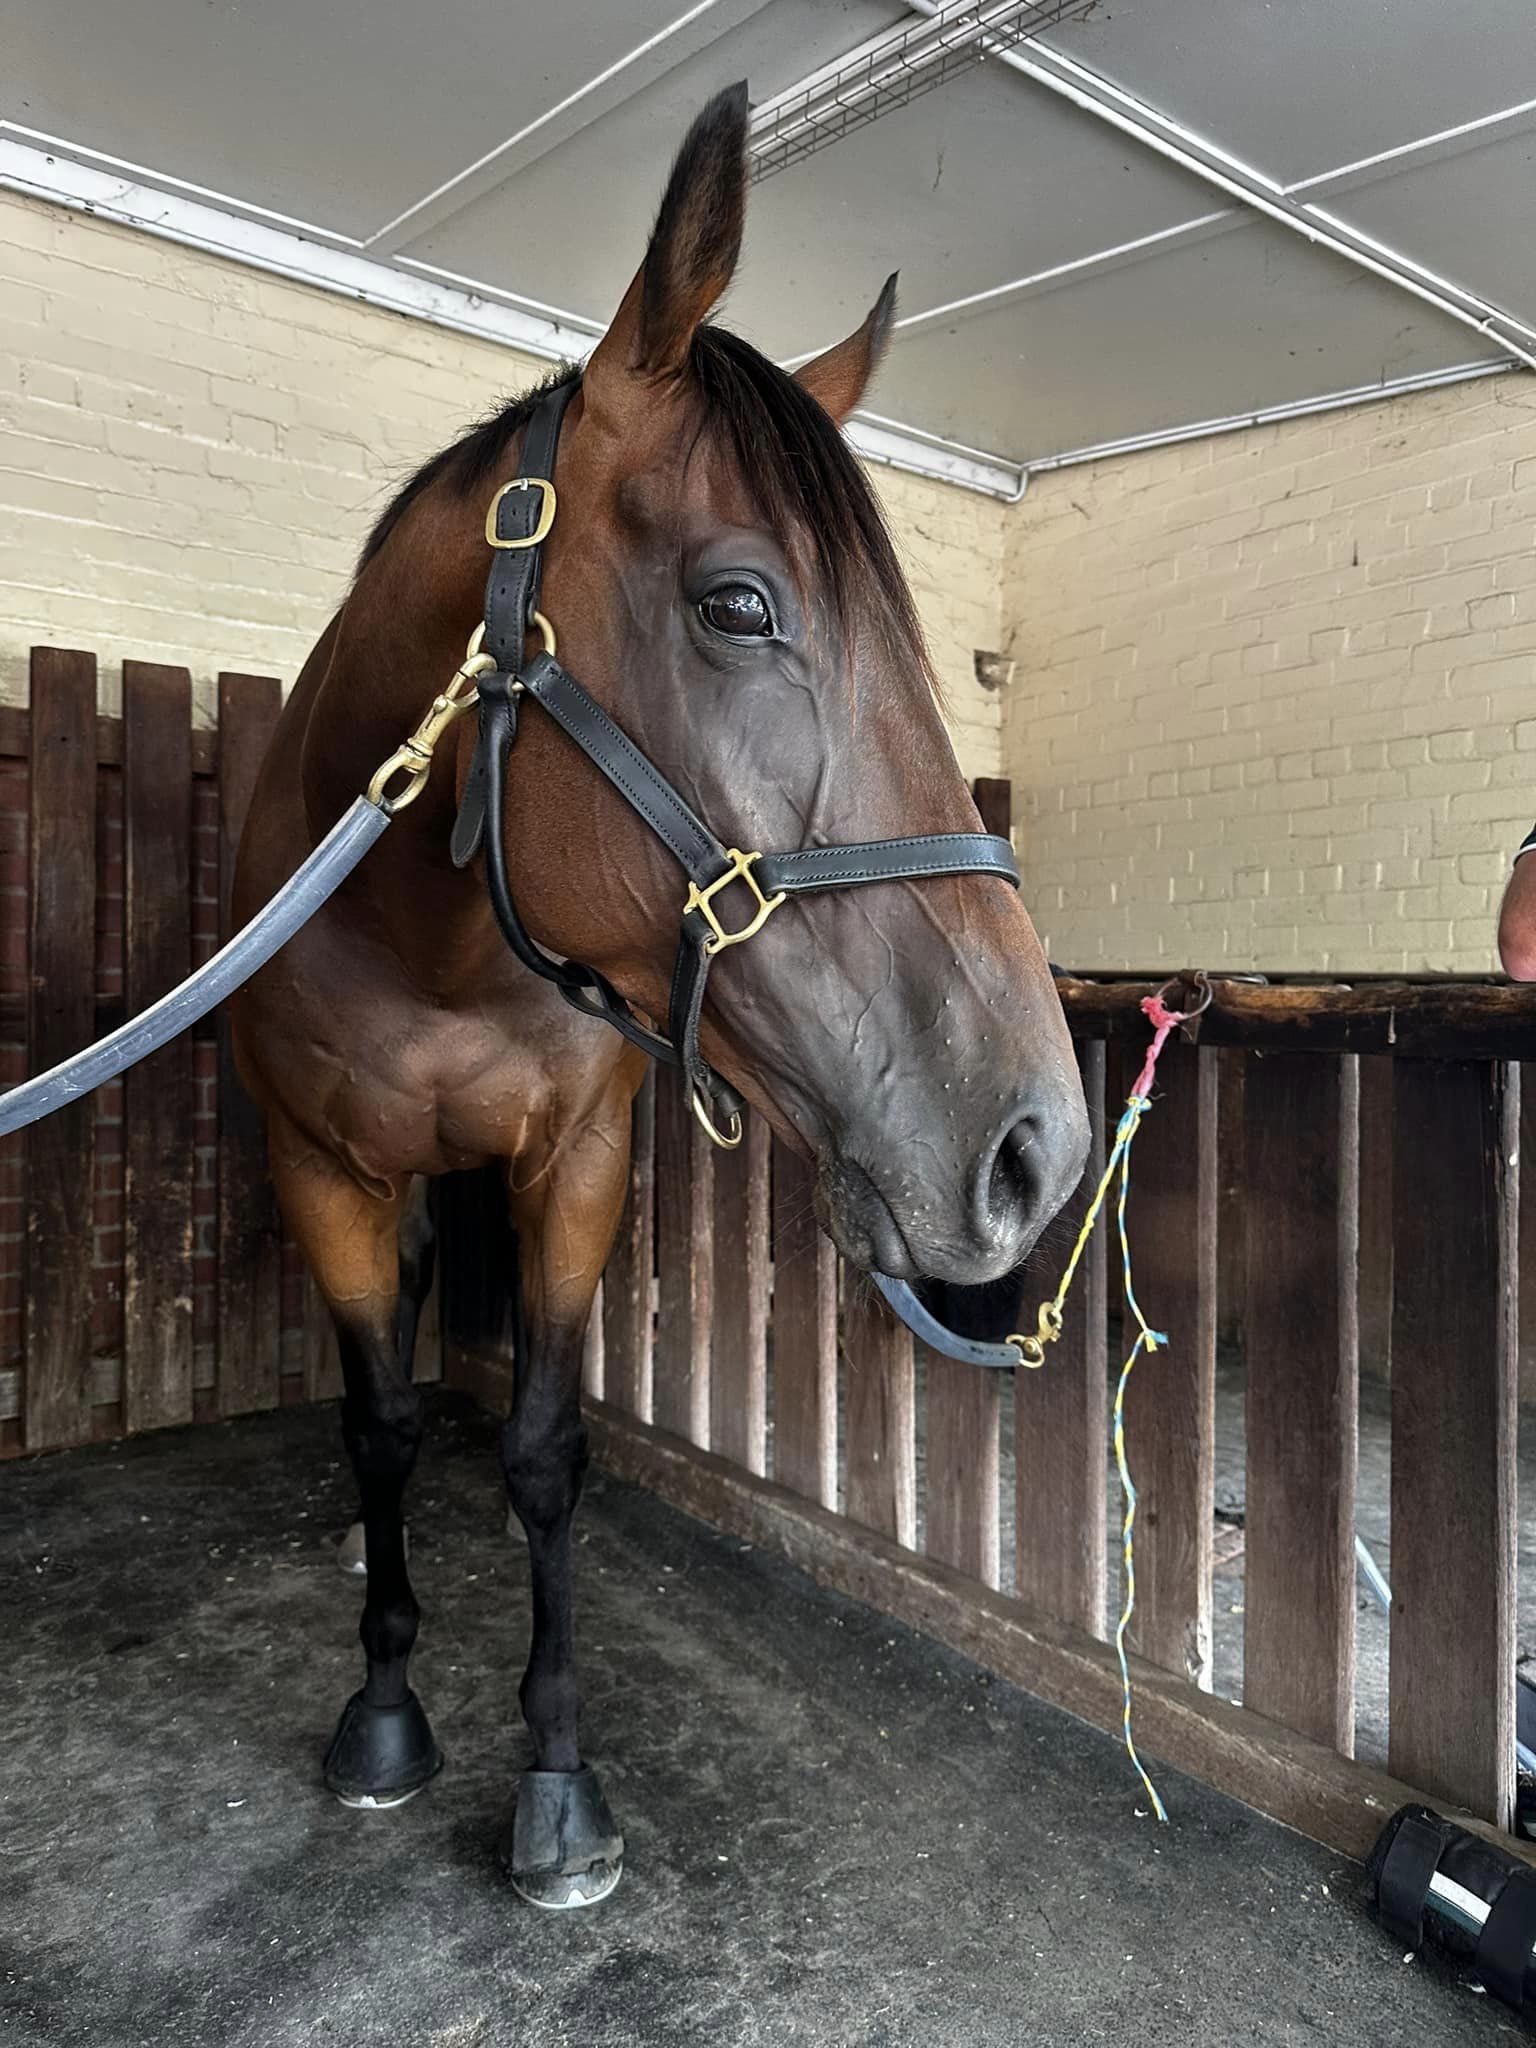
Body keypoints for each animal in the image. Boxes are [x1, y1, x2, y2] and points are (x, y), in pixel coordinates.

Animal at [234, 79, 1089, 1900]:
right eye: (740, 604)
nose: (1037, 1146)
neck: (435, 941)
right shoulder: (322, 1171)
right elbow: (381, 1421)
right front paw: (385, 1706)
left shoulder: (578, 1165)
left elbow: (551, 1450)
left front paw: (557, 1780)